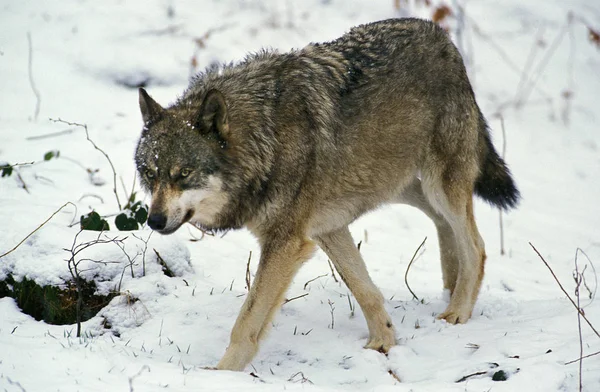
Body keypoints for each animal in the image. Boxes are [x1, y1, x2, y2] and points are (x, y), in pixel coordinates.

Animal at [134, 17, 516, 370]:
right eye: (150, 174)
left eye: (184, 174)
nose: (154, 221)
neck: (264, 140)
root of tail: (442, 37)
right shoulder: (325, 228)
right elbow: (364, 288)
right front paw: (383, 342)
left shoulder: (287, 244)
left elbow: (246, 322)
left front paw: (223, 374)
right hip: (397, 185)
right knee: (442, 223)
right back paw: (449, 290)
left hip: (438, 184)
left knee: (476, 245)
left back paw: (457, 310)